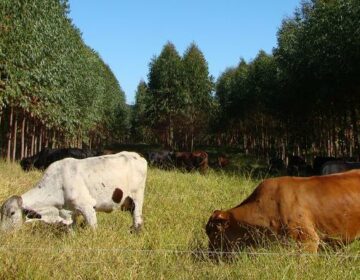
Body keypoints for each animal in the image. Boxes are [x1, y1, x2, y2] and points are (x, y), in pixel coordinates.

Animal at [0, 151, 148, 232]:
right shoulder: (69, 213)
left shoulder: (87, 207)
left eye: (12, 213)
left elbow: (93, 230)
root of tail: (137, 155)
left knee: (137, 219)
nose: (3, 232)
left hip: (137, 198)